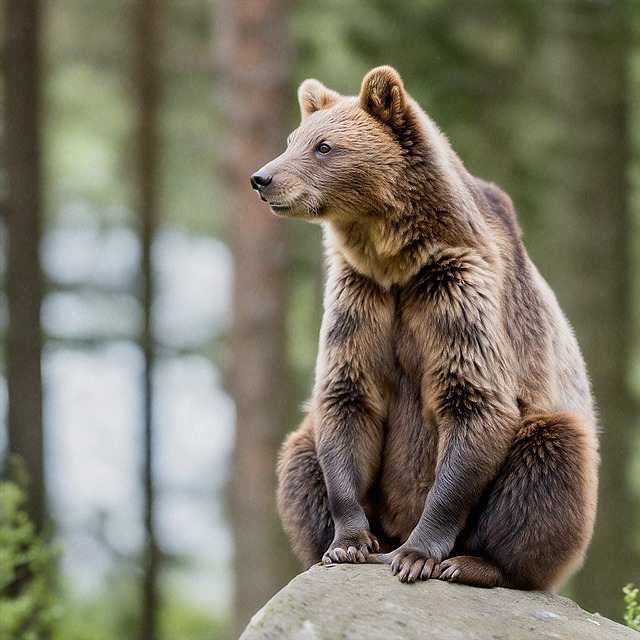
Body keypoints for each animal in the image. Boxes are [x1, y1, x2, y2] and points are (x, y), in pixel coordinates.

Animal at [251, 65, 600, 592]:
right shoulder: (361, 297)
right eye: (293, 139)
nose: (262, 178)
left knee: (550, 455)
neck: (395, 258)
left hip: (552, 439)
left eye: (324, 146)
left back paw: (473, 563)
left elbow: (474, 401)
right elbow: (346, 398)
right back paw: (331, 551)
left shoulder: (454, 291)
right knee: (300, 454)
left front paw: (416, 556)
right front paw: (348, 543)